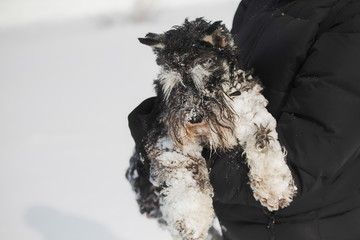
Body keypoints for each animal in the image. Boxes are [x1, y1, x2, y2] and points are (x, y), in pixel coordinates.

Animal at [126, 18, 296, 240]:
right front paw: (191, 220)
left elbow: (263, 143)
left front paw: (275, 187)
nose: (193, 118)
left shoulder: (252, 115)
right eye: (175, 85)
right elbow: (186, 173)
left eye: (209, 78)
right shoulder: (167, 140)